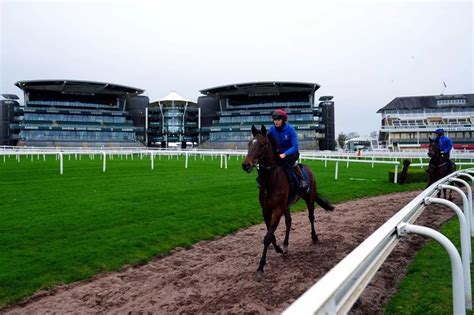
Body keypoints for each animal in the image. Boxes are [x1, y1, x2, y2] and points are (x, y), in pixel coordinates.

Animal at [241, 124, 334, 280]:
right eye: (249, 143)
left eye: (262, 145)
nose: (246, 165)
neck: (270, 181)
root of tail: (308, 169)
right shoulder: (266, 210)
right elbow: (270, 235)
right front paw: (278, 249)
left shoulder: (277, 210)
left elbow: (268, 237)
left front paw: (261, 267)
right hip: (287, 205)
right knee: (289, 222)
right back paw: (285, 245)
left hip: (309, 198)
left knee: (311, 217)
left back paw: (314, 237)